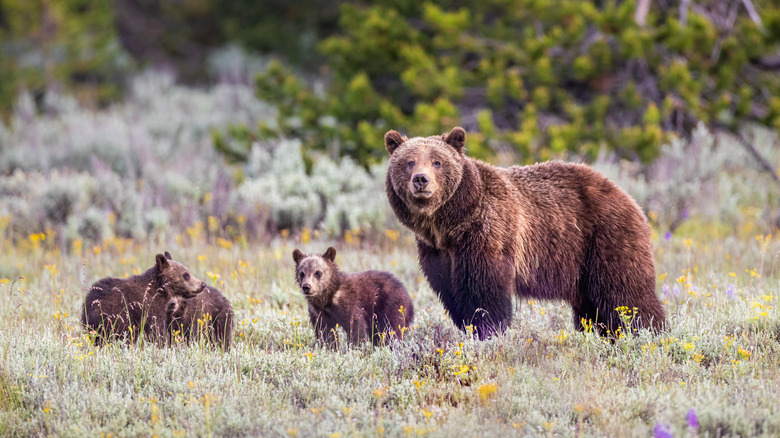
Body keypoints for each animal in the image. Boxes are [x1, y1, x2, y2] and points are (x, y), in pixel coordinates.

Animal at [384, 126, 664, 338]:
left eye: (437, 162)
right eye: (409, 162)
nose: (421, 180)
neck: (449, 224)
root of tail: (628, 197)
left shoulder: (488, 234)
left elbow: (485, 293)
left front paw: (488, 331)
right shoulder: (437, 252)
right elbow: (452, 294)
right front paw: (469, 328)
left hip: (605, 238)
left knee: (626, 295)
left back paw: (649, 333)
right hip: (583, 266)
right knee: (592, 308)